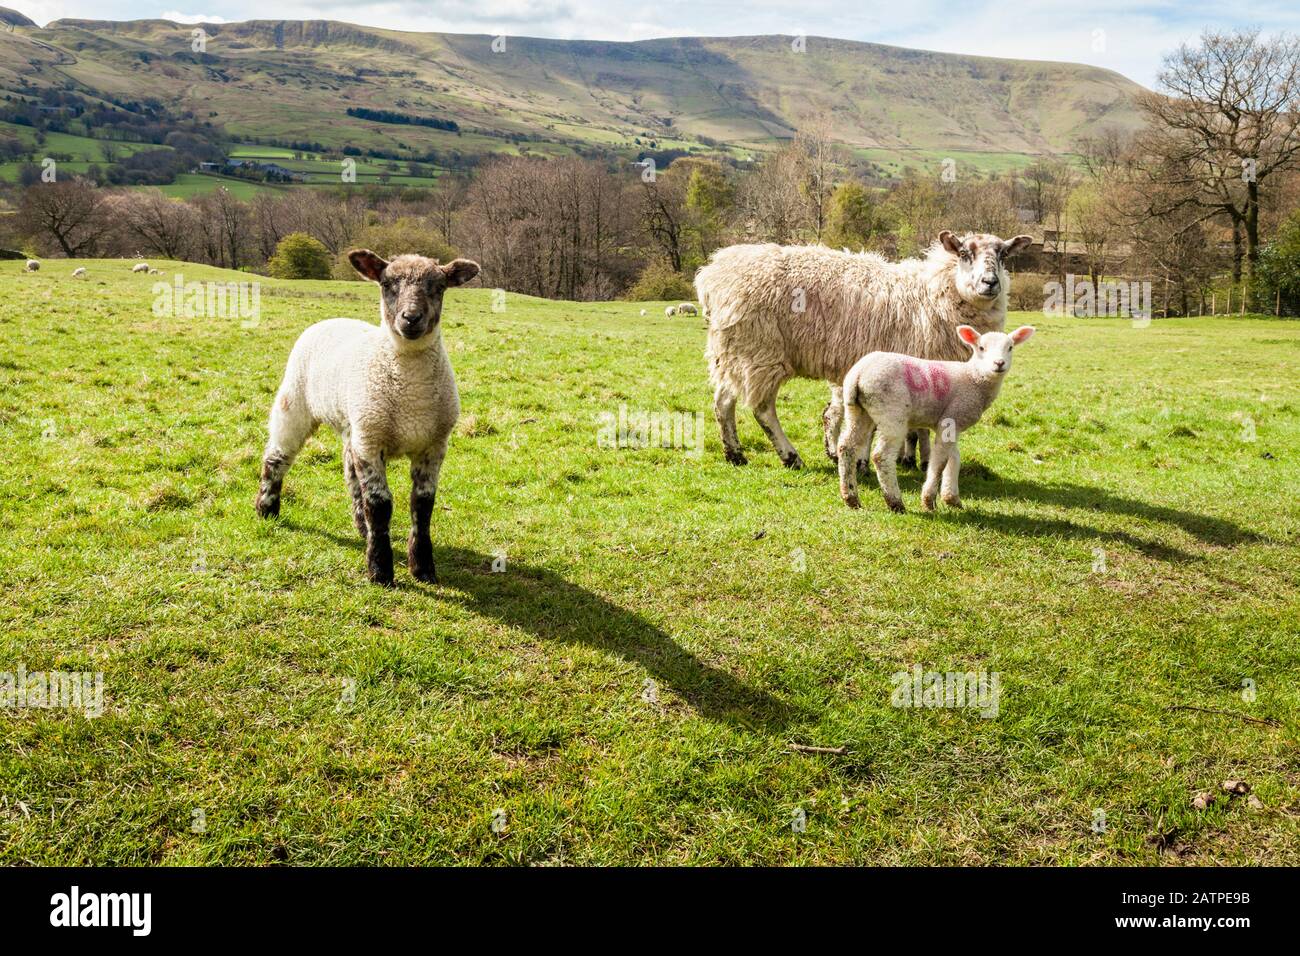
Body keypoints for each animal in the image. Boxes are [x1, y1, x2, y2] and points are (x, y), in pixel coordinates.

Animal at [256, 247, 480, 587]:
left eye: (439, 287)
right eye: (387, 284)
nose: (410, 318)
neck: (411, 395)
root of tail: (331, 319)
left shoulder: (433, 446)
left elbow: (422, 504)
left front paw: (423, 568)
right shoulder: (372, 442)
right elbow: (380, 504)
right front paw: (380, 570)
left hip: (354, 427)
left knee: (349, 473)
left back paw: (362, 528)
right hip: (296, 403)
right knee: (276, 457)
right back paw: (267, 508)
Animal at [696, 231, 1029, 470]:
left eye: (1003, 255)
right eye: (964, 254)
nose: (990, 282)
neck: (933, 294)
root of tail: (713, 273)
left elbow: (915, 427)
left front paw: (911, 459)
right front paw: (867, 461)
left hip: (733, 350)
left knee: (723, 401)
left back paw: (735, 454)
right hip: (761, 350)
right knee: (763, 409)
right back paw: (790, 457)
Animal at [837, 323, 1040, 515]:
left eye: (1010, 347)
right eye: (981, 347)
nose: (999, 363)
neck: (974, 378)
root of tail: (859, 374)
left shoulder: (952, 424)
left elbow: (954, 458)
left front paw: (952, 499)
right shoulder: (951, 417)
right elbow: (940, 461)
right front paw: (929, 501)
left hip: (857, 411)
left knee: (846, 446)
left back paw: (851, 497)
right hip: (891, 412)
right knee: (881, 456)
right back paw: (895, 502)